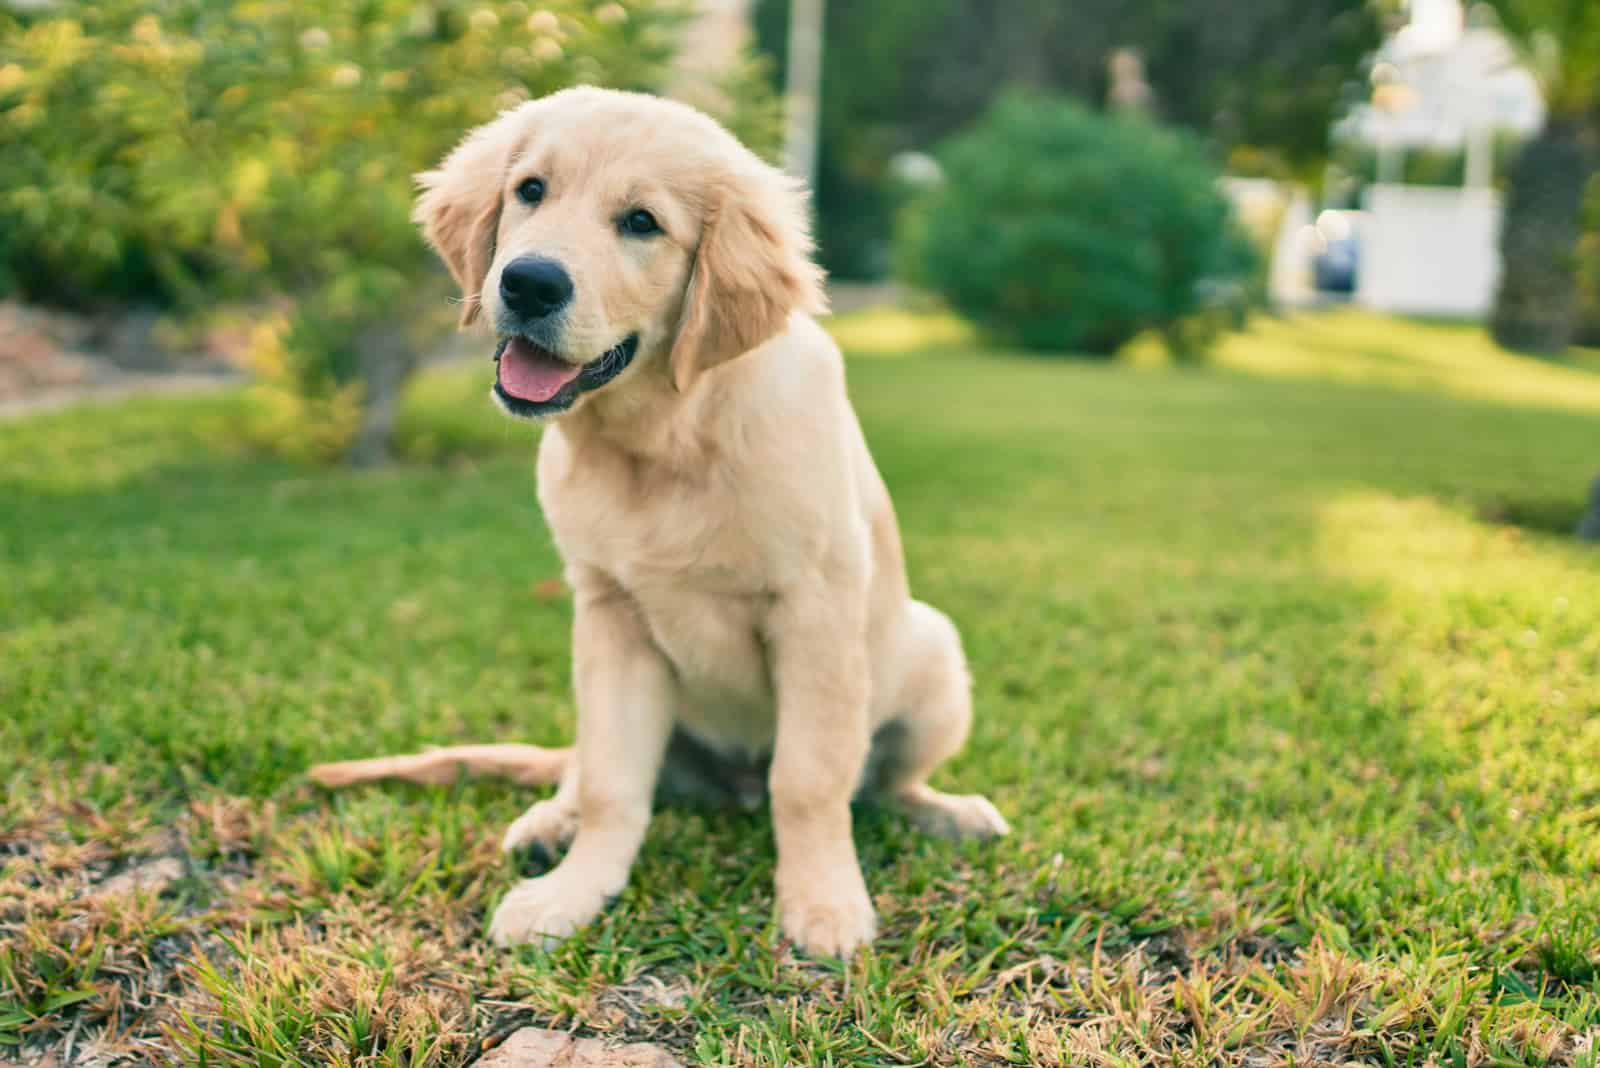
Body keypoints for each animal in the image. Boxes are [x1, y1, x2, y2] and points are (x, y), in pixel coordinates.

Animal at [310, 89, 1004, 959]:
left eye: (642, 222)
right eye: (530, 190)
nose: (528, 283)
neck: (665, 437)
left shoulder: (815, 612)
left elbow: (810, 780)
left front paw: (822, 902)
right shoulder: (611, 616)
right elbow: (615, 785)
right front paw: (572, 893)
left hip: (933, 654)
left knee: (881, 785)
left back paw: (950, 812)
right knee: (584, 767)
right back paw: (551, 821)